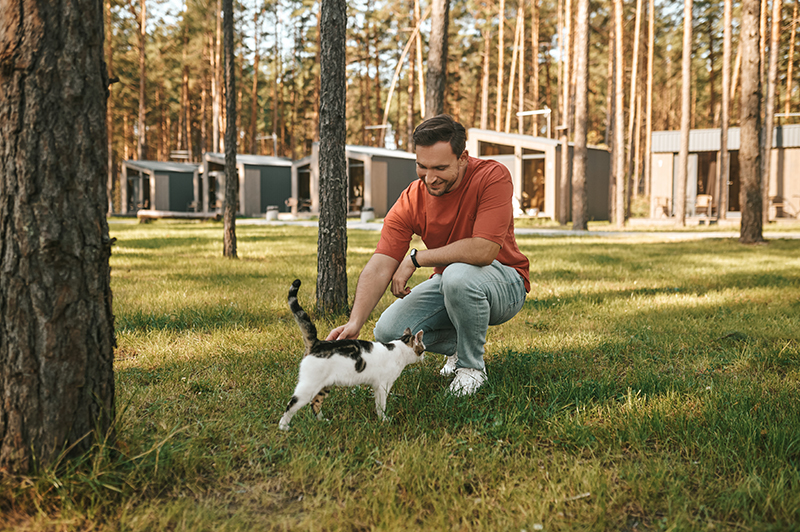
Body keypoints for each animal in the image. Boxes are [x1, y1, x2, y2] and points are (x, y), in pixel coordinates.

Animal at [280, 278, 424, 432]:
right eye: (423, 347)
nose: (424, 356)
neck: (399, 348)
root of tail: (318, 343)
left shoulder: (376, 386)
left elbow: (378, 404)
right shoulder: (383, 385)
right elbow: (382, 405)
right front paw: (384, 420)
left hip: (325, 386)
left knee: (315, 403)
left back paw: (323, 421)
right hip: (309, 385)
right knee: (292, 404)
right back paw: (284, 427)